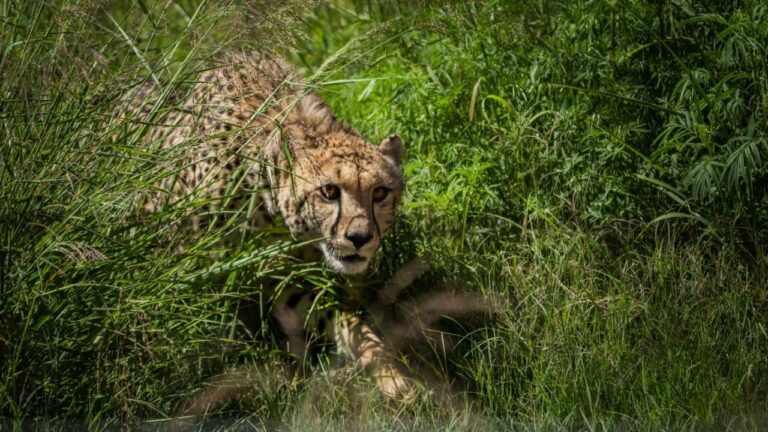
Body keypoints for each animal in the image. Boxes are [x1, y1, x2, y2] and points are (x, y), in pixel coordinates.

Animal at [123, 52, 414, 401]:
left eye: (380, 193)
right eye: (329, 191)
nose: (359, 237)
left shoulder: (291, 283)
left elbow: (349, 325)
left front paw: (390, 374)